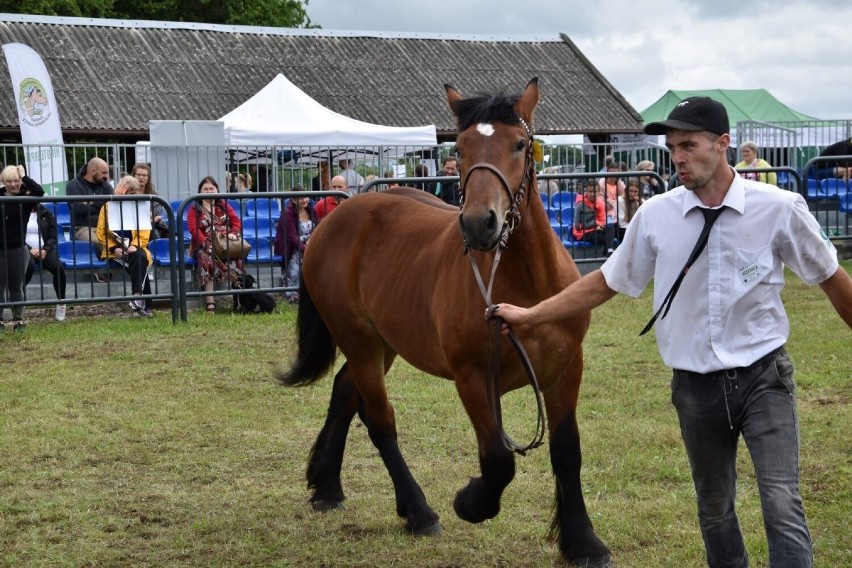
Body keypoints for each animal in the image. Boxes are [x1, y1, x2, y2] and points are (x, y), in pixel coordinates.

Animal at [280, 77, 612, 564]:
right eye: (461, 146)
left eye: (519, 145)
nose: (478, 223)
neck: (526, 283)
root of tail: (337, 217)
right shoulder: (473, 377)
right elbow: (498, 460)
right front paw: (471, 502)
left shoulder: (566, 369)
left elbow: (567, 451)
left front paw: (583, 541)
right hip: (359, 341)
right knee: (378, 419)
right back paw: (418, 512)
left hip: (384, 343)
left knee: (343, 393)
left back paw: (327, 487)